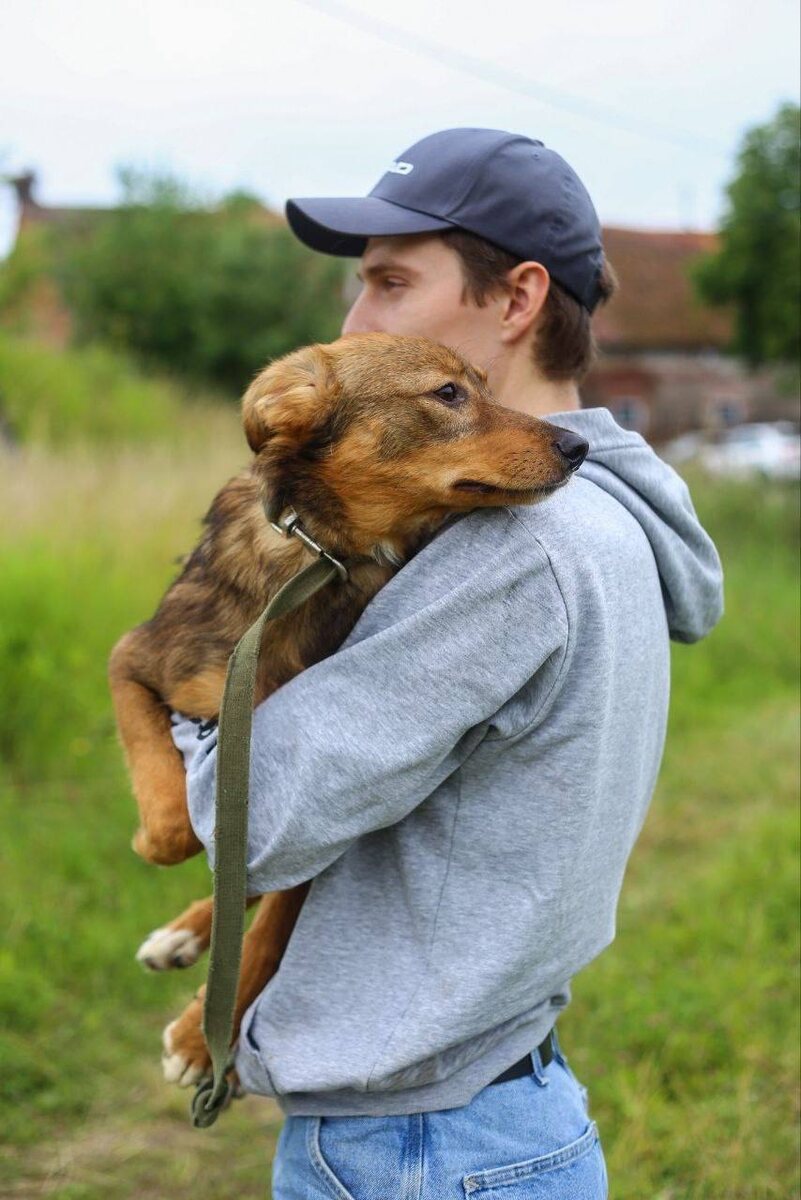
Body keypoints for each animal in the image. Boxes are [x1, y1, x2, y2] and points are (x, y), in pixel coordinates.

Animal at [107, 331, 588, 1088]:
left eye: (487, 385)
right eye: (448, 393)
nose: (578, 446)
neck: (324, 556)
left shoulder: (322, 820)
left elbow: (264, 931)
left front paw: (197, 1041)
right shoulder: (133, 661)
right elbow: (170, 829)